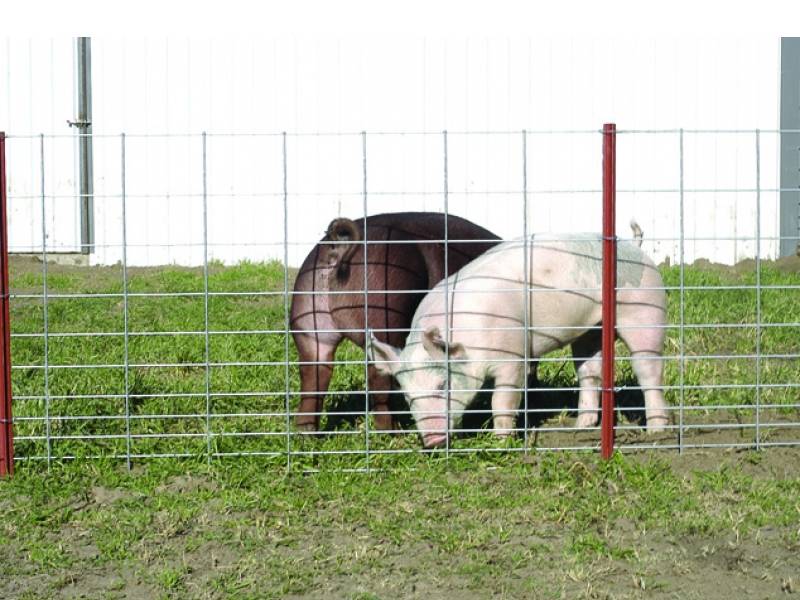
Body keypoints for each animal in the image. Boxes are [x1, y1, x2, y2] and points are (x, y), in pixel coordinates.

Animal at [288, 213, 500, 428]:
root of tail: (342, 245)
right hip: (385, 312)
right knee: (378, 377)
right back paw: (393, 431)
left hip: (308, 322)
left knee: (313, 374)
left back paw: (307, 432)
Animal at [368, 223, 668, 448]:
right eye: (408, 395)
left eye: (443, 385)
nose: (432, 441)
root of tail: (634, 245)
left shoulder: (513, 356)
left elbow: (501, 400)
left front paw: (501, 441)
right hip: (591, 330)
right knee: (589, 371)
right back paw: (580, 427)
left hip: (645, 309)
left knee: (649, 371)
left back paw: (656, 430)